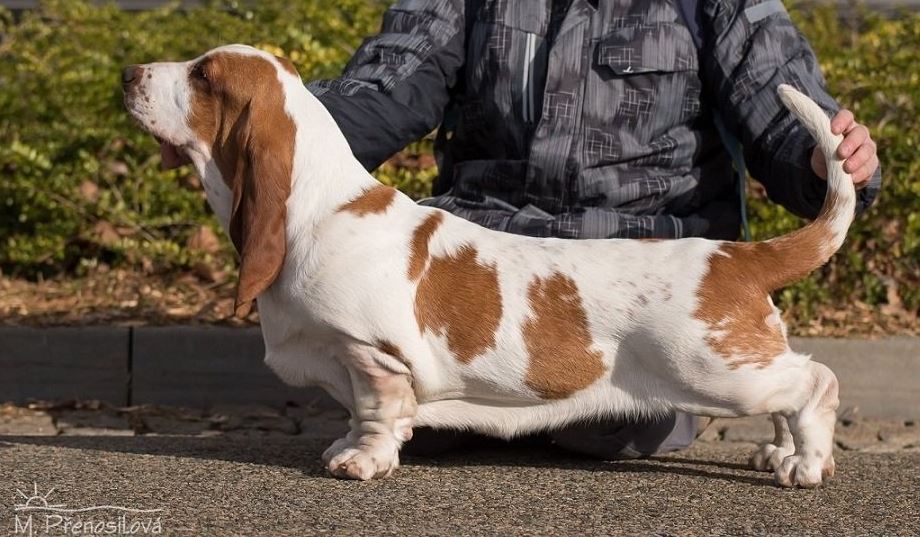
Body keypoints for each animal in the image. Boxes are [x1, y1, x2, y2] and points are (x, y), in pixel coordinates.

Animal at [122, 44, 856, 484]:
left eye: (203, 77)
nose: (127, 73)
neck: (319, 206)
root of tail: (738, 256)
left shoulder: (372, 355)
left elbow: (377, 410)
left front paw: (363, 461)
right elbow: (357, 411)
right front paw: (344, 446)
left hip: (716, 371)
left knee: (816, 381)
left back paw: (807, 465)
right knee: (792, 394)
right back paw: (783, 451)